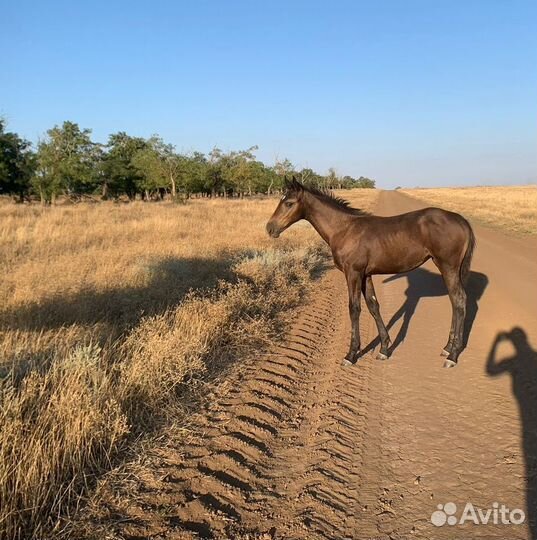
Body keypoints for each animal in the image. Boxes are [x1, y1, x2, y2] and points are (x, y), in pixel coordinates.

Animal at [266, 179, 476, 370]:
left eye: (289, 203)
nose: (270, 228)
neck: (344, 229)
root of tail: (462, 220)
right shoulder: (366, 275)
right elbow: (373, 306)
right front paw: (384, 349)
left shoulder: (353, 273)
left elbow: (354, 308)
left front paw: (351, 354)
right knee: (456, 301)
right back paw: (447, 348)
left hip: (448, 266)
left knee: (459, 301)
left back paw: (453, 355)